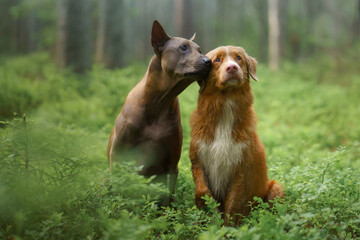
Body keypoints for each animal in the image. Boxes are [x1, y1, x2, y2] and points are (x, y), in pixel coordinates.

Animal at [108, 20, 212, 204]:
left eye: (199, 49)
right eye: (183, 47)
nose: (209, 61)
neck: (157, 105)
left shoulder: (171, 163)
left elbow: (167, 198)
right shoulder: (118, 156)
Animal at [188, 45, 284, 225]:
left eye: (238, 57)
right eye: (217, 60)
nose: (232, 67)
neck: (226, 103)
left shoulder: (240, 168)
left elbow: (232, 205)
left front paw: (227, 228)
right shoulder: (198, 159)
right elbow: (202, 191)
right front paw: (207, 212)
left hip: (276, 188)